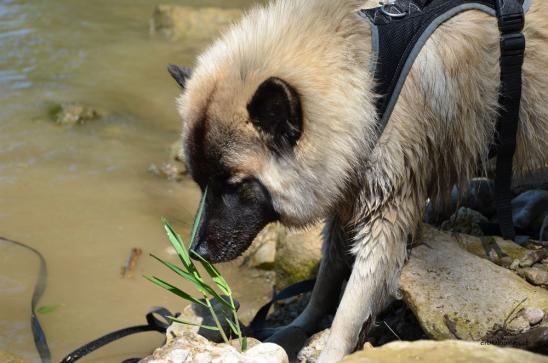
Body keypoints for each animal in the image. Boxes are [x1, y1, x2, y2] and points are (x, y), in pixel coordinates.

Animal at [167, 0, 548, 362]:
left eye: (235, 185)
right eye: (202, 184)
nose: (197, 252)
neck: (367, 80)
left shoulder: (385, 220)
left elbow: (350, 309)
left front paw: (331, 352)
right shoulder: (348, 193)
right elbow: (326, 278)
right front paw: (300, 325)